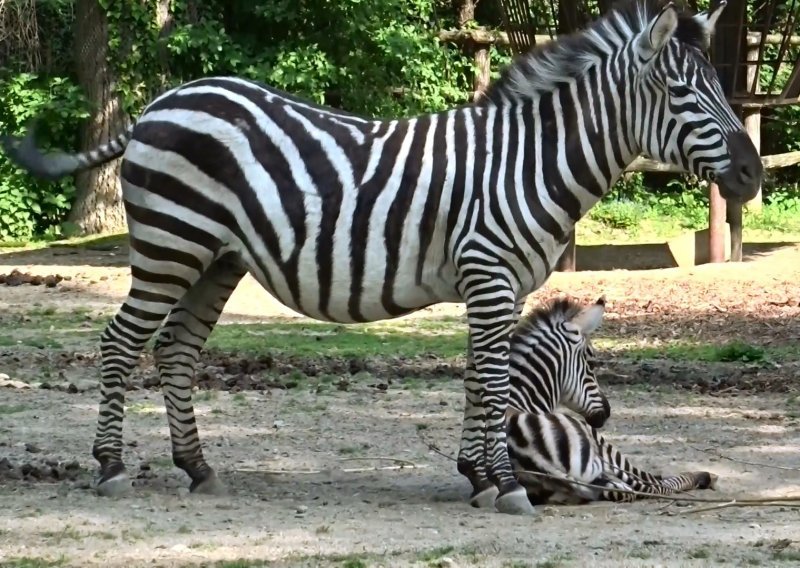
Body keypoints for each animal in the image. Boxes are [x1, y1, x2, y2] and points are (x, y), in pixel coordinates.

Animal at [1, 0, 764, 516]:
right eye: (683, 93)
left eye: (717, 87)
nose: (754, 175)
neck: (529, 162)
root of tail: (160, 103)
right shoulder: (490, 273)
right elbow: (492, 381)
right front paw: (506, 484)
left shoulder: (501, 283)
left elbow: (477, 378)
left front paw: (478, 477)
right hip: (170, 243)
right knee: (119, 341)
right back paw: (109, 466)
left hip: (216, 257)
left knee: (177, 348)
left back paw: (196, 466)